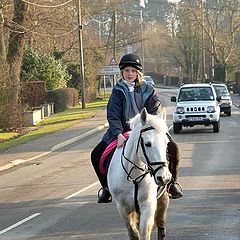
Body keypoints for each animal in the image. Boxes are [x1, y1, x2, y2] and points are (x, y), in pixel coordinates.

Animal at [107, 109, 172, 240]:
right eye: (147, 144)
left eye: (166, 142)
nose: (164, 177)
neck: (134, 176)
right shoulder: (122, 207)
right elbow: (133, 233)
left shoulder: (148, 204)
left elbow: (144, 232)